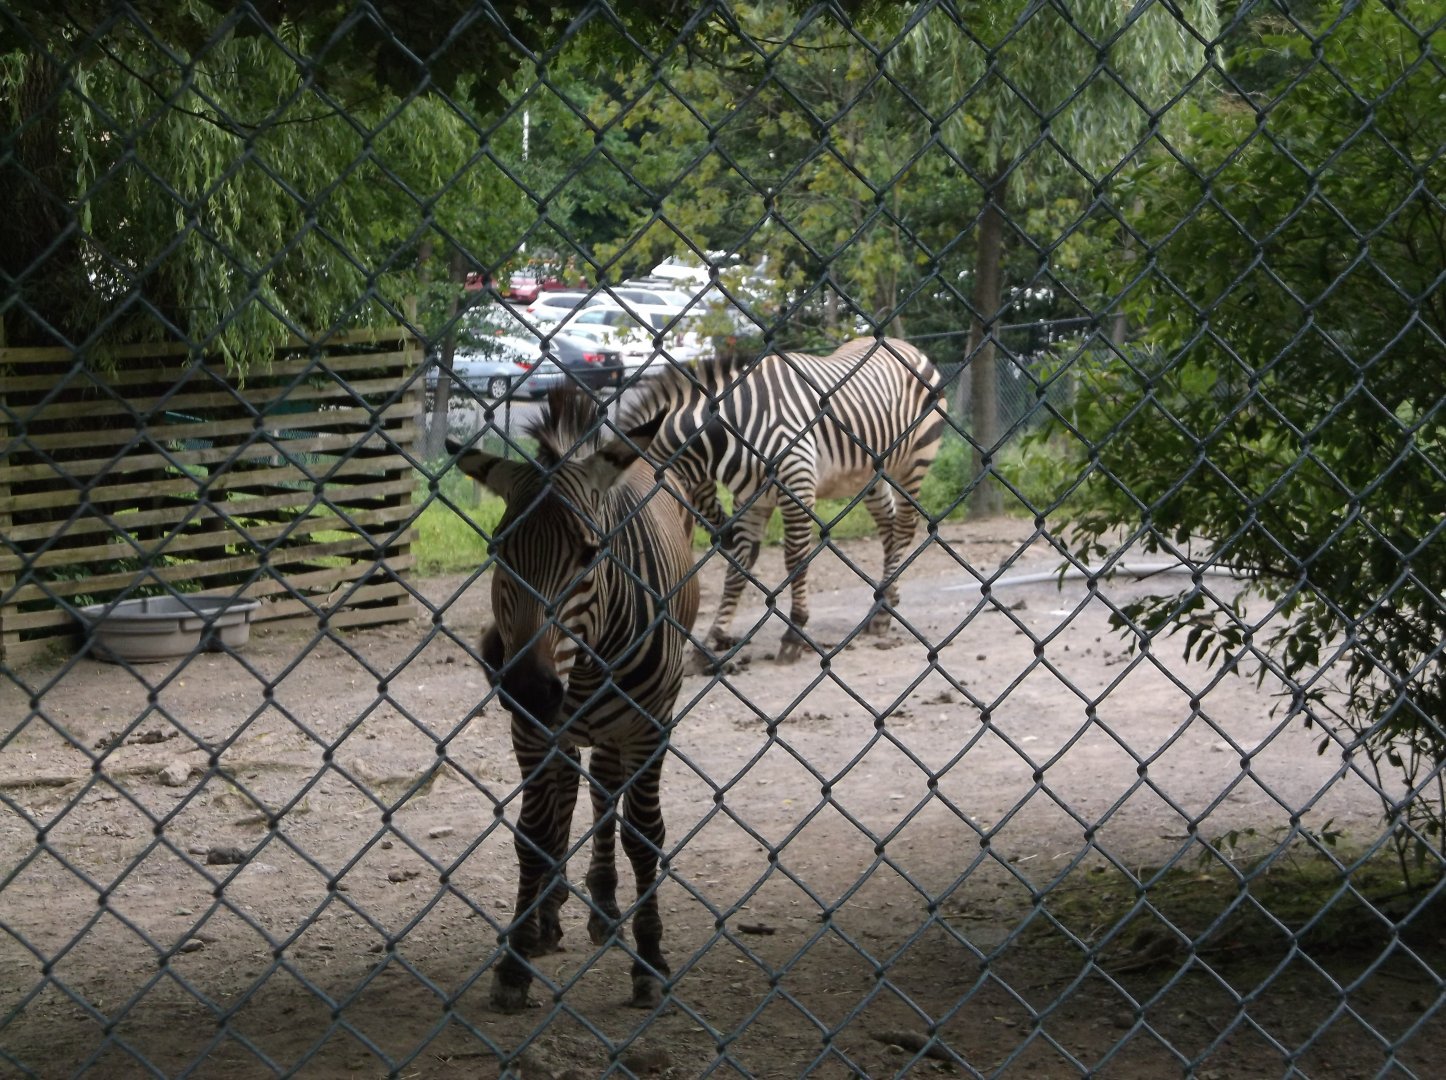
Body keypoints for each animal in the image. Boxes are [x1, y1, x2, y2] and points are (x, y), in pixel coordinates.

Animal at [448, 390, 700, 1011]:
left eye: (590, 554)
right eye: (498, 554)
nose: (528, 689)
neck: (583, 669)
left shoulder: (649, 727)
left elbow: (643, 837)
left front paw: (649, 959)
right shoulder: (532, 730)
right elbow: (534, 836)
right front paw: (515, 961)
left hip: (617, 728)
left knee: (604, 791)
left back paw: (604, 907)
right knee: (565, 794)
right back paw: (549, 912)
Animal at [618, 336, 946, 662]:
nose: (725, 536)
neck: (733, 430)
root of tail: (905, 345)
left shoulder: (797, 486)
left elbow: (795, 559)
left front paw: (794, 633)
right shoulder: (751, 500)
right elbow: (738, 566)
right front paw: (714, 637)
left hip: (914, 461)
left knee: (903, 528)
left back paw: (881, 612)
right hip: (873, 473)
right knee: (888, 528)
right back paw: (885, 602)